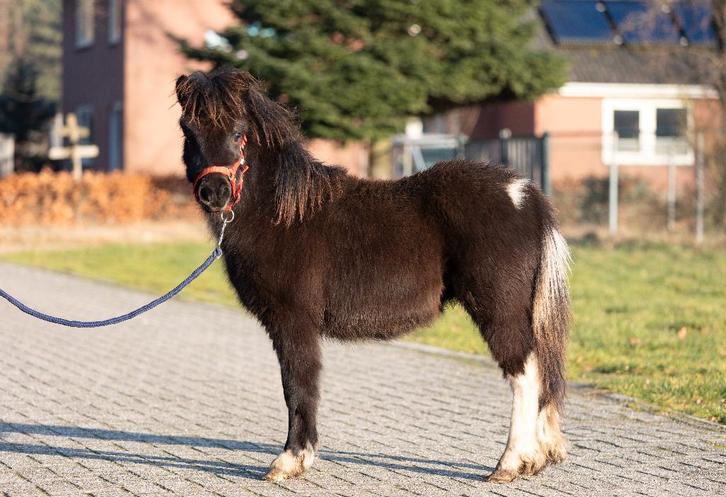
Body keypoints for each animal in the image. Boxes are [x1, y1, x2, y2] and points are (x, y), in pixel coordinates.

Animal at [174, 67, 570, 484]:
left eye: (239, 132)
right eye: (189, 130)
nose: (214, 192)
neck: (282, 214)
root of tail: (525, 194)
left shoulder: (293, 321)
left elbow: (298, 385)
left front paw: (291, 459)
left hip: (499, 309)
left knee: (525, 373)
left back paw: (510, 462)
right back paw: (534, 457)